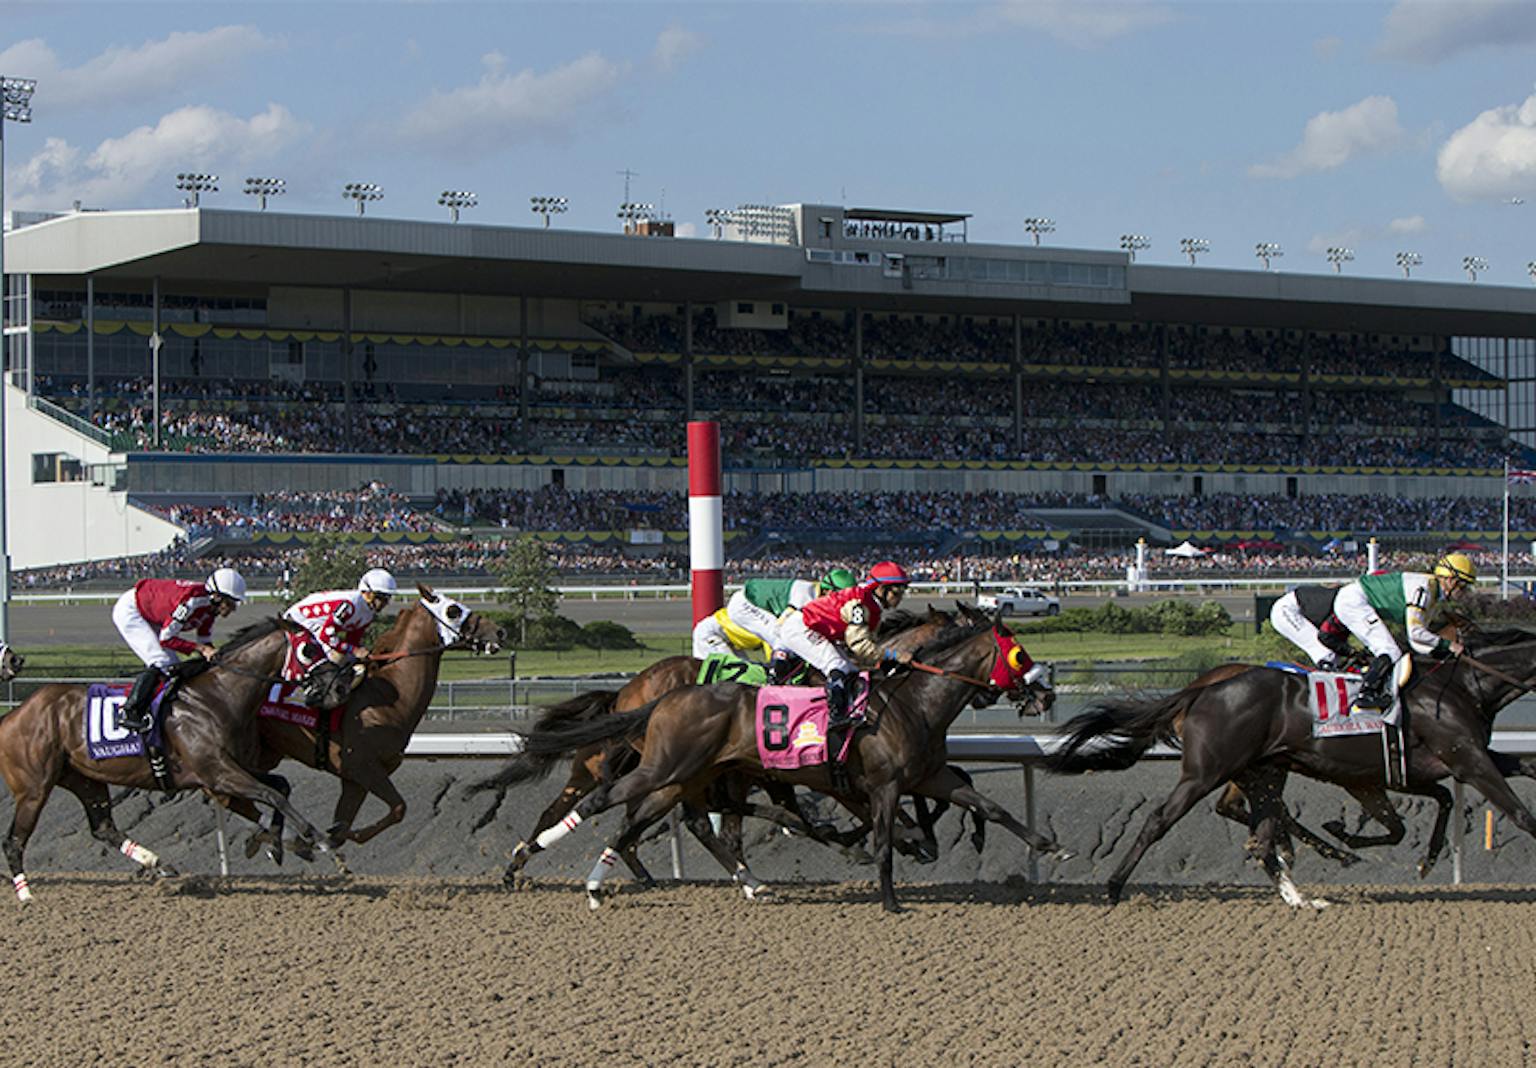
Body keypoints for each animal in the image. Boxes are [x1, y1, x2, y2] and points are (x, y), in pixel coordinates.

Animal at [0, 617, 342, 903]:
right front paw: (319, 841)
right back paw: (26, 893)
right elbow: (273, 795)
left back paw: (159, 863)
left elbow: (280, 786)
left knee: (103, 828)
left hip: (84, 779)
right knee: (14, 840)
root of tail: (13, 716)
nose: (336, 686)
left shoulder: (233, 769)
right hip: (34, 789)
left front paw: (278, 843)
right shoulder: (217, 773)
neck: (217, 697)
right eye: (309, 649)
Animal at [244, 583, 497, 860]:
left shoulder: (355, 780)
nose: (499, 631)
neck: (389, 697)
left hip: (268, 753)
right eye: (453, 610)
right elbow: (398, 808)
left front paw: (327, 837)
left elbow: (346, 827)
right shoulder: (363, 767)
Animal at [509, 614, 1062, 915]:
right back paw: (539, 857)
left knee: (664, 819)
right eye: (1019, 654)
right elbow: (881, 838)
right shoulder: (878, 785)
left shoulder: (929, 775)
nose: (1046, 693)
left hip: (687, 776)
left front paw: (1048, 845)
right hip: (667, 769)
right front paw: (890, 893)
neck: (913, 702)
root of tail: (654, 695)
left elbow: (988, 804)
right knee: (605, 801)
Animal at [1056, 617, 1536, 909]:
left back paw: (1300, 895)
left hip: (1265, 772)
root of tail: (1200, 689)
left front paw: (1409, 855)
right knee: (1162, 819)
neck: (1464, 686)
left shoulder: (1445, 763)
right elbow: (1519, 814)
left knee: (1262, 834)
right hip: (1205, 772)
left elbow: (1457, 796)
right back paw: (1114, 887)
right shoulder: (1465, 760)